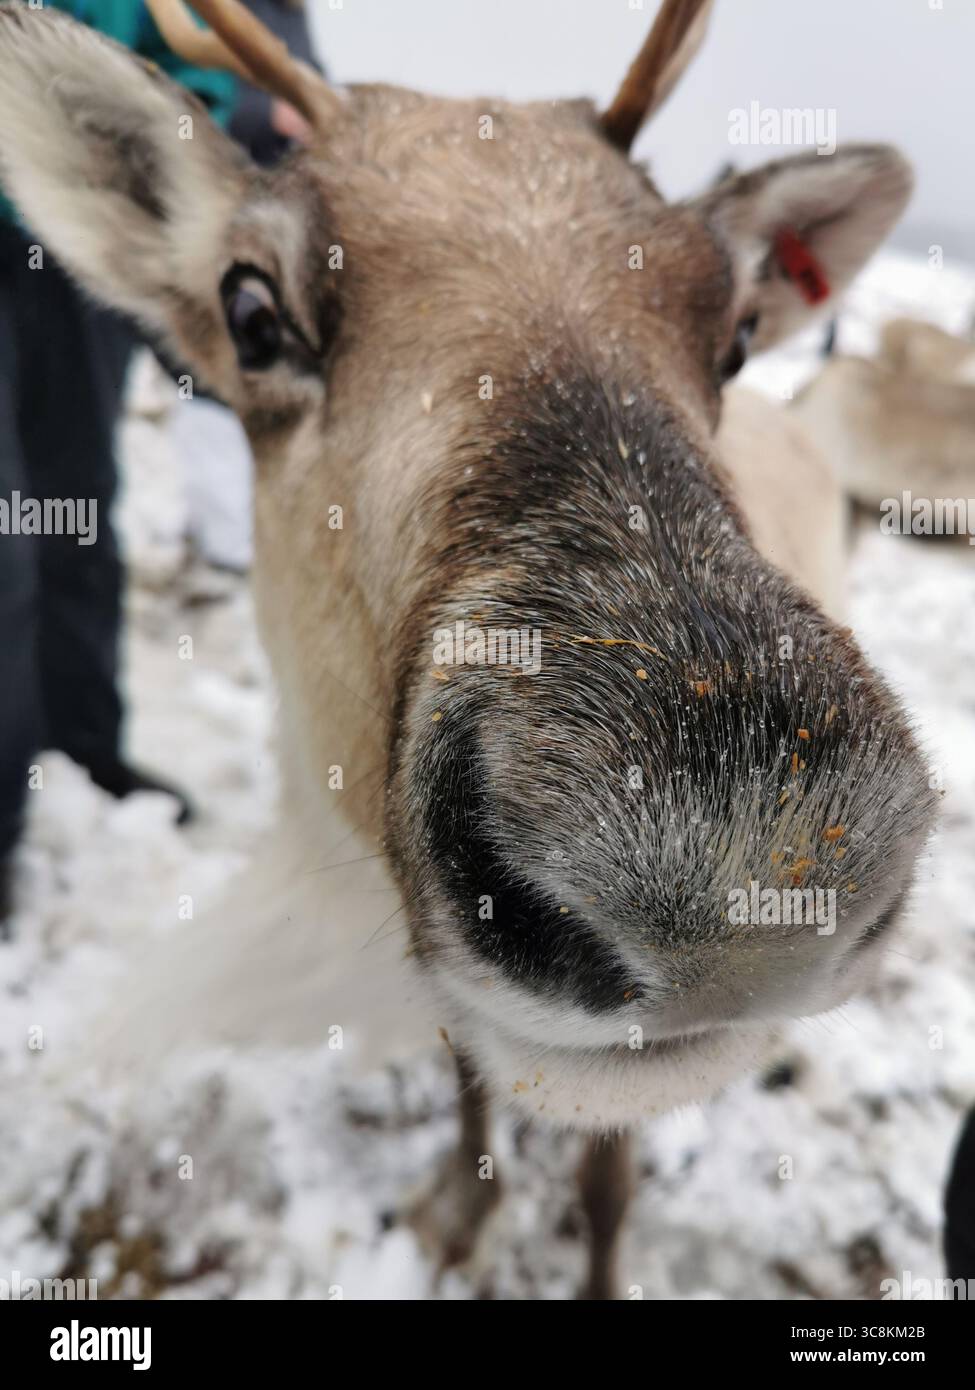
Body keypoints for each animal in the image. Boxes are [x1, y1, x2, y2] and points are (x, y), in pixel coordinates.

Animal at [0, 0, 939, 1299]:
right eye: (252, 311)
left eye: (740, 330)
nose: (749, 888)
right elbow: (467, 1084)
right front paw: (455, 1214)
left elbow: (605, 1180)